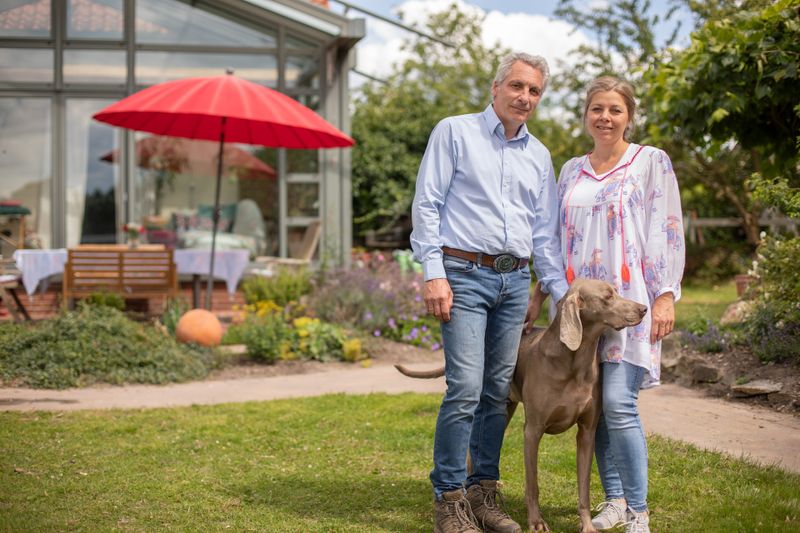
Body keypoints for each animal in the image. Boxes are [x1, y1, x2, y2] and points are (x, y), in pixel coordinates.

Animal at [396, 278, 648, 532]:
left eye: (616, 291)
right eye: (608, 296)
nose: (644, 309)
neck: (575, 361)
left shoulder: (587, 431)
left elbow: (584, 488)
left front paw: (587, 525)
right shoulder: (532, 431)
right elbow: (532, 484)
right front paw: (536, 522)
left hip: (504, 407)